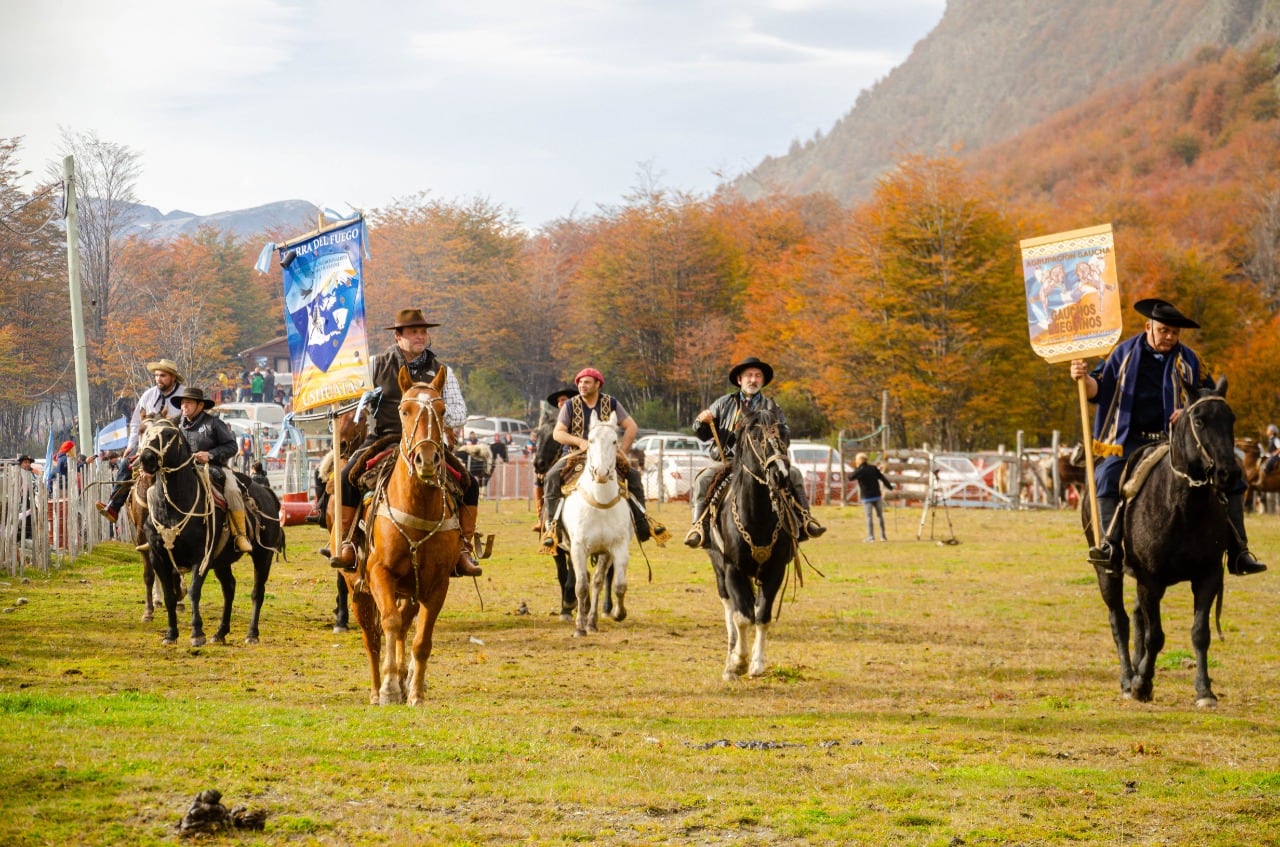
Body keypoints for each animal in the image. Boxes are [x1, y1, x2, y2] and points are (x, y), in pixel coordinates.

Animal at [136, 419, 282, 649]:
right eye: (146, 433)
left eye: (169, 434)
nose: (146, 459)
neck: (173, 507)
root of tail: (268, 494)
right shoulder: (158, 557)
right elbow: (169, 596)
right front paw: (171, 634)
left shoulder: (201, 556)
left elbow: (194, 591)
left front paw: (197, 633)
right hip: (222, 561)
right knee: (229, 588)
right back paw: (221, 632)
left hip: (263, 555)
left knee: (257, 592)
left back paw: (252, 633)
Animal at [343, 368, 463, 706]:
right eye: (404, 410)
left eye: (442, 411)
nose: (427, 459)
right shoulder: (379, 574)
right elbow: (390, 625)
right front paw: (388, 689)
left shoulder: (437, 585)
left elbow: (421, 639)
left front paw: (415, 692)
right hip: (357, 588)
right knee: (373, 636)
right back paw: (377, 689)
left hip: (409, 591)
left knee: (402, 626)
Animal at [565, 424, 634, 637]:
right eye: (590, 440)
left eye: (614, 441)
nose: (601, 473)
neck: (600, 504)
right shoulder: (577, 547)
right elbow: (581, 585)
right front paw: (579, 626)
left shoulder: (616, 548)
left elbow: (617, 584)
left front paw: (618, 613)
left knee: (596, 580)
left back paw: (592, 620)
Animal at [706, 409, 793, 680]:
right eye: (756, 437)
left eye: (785, 434)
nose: (780, 475)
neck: (757, 516)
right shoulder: (733, 569)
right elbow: (742, 617)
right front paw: (738, 663)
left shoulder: (775, 570)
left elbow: (761, 616)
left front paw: (756, 664)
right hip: (719, 570)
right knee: (730, 610)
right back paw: (730, 661)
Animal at [1090, 378, 1239, 711]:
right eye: (1200, 420)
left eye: (1231, 420)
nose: (1229, 474)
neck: (1183, 506)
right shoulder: (1150, 579)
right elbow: (1155, 636)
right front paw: (1141, 684)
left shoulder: (1209, 575)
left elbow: (1200, 633)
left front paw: (1204, 690)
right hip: (1108, 572)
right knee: (1119, 620)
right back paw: (1127, 679)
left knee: (1136, 619)